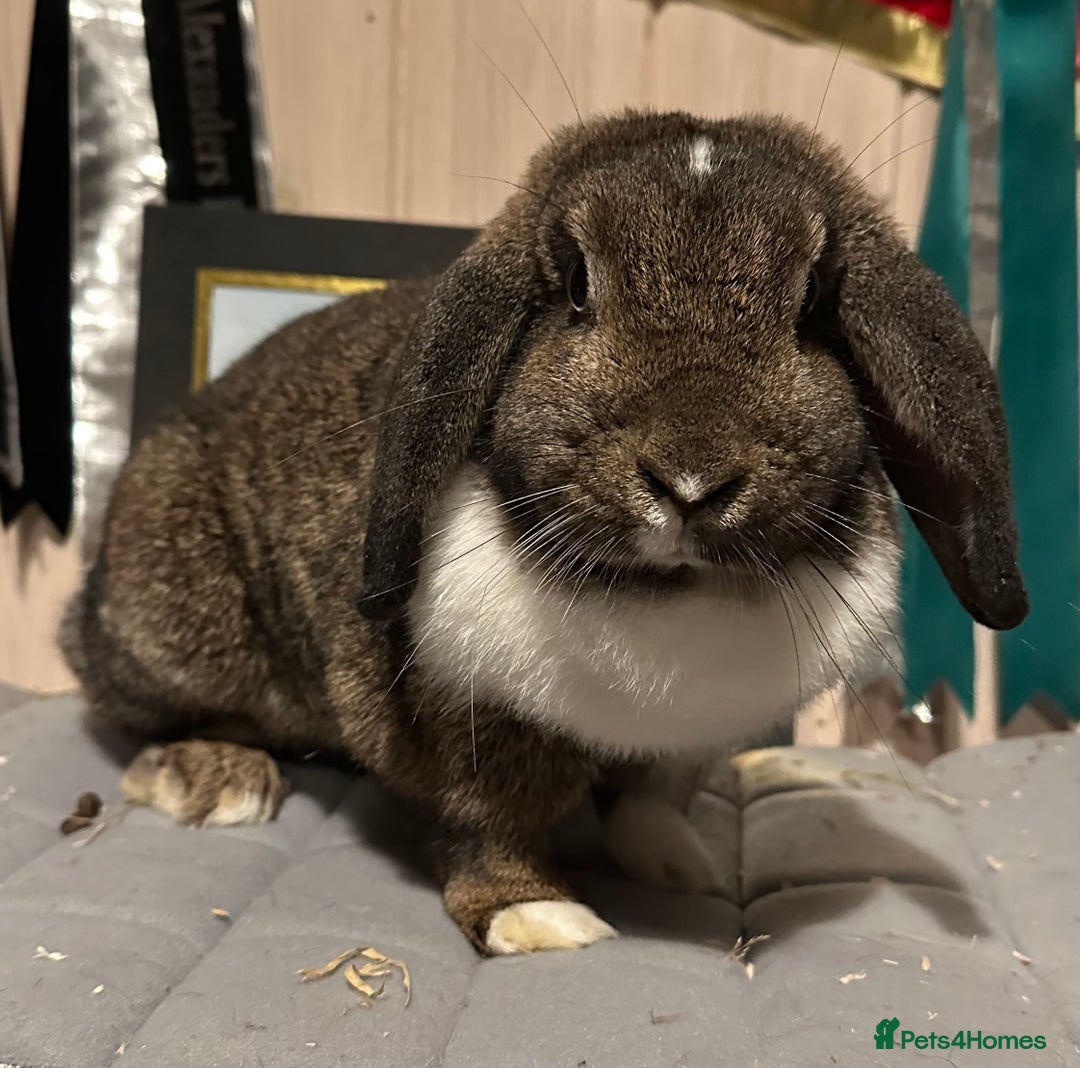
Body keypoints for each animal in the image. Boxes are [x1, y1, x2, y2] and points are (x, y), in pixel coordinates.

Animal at [61, 110, 1028, 955]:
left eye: (814, 303)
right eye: (574, 287)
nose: (690, 481)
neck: (667, 591)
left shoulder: (687, 741)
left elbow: (651, 795)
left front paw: (679, 866)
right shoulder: (468, 721)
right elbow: (492, 821)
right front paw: (536, 919)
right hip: (173, 629)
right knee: (128, 710)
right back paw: (215, 779)